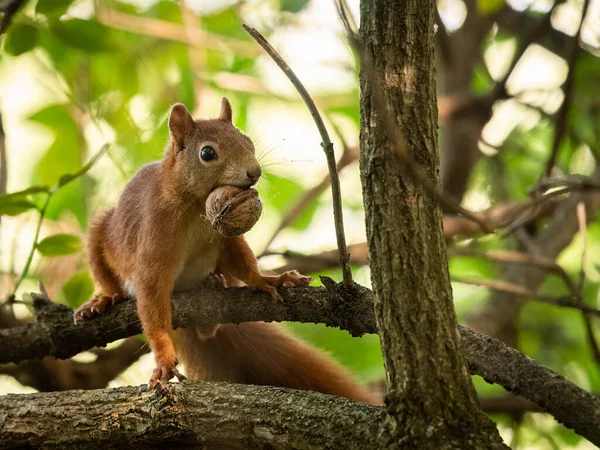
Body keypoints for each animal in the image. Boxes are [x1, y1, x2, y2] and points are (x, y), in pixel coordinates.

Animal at [72, 97, 378, 404]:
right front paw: (164, 359)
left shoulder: (225, 237)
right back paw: (103, 300)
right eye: (207, 152)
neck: (197, 206)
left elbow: (242, 261)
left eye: (248, 141)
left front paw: (268, 280)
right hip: (100, 235)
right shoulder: (155, 234)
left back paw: (213, 283)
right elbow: (151, 294)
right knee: (109, 277)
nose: (255, 172)